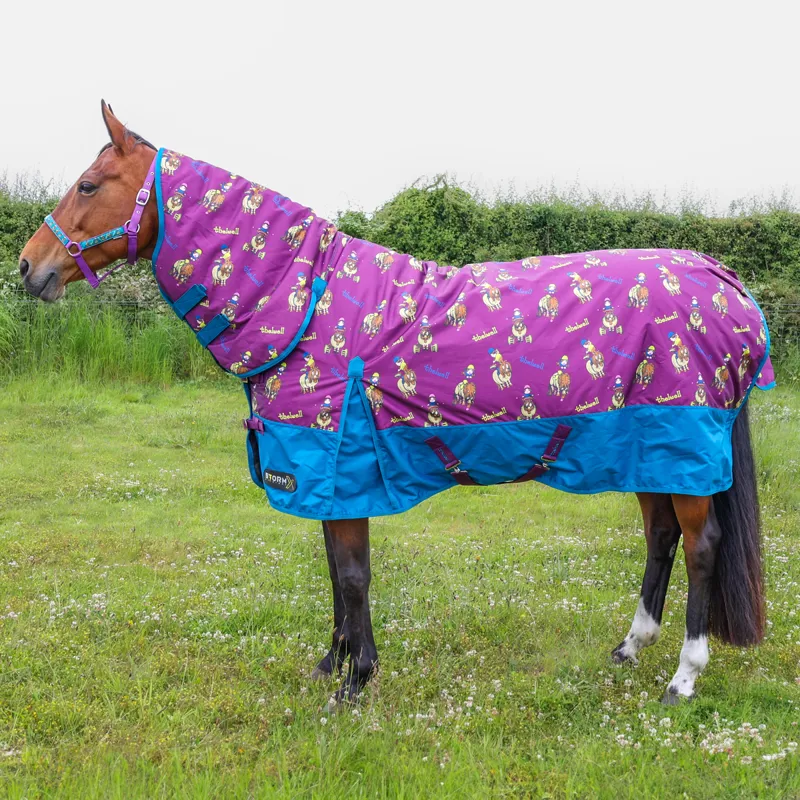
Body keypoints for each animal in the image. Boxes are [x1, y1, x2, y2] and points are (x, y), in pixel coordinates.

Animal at [19, 101, 770, 708]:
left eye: (89, 185)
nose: (28, 266)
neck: (305, 302)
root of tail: (724, 283)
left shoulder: (340, 466)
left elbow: (352, 576)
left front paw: (356, 683)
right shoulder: (325, 477)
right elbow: (334, 574)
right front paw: (334, 664)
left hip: (683, 450)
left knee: (701, 546)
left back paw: (683, 676)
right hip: (648, 449)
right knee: (661, 536)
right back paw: (629, 647)